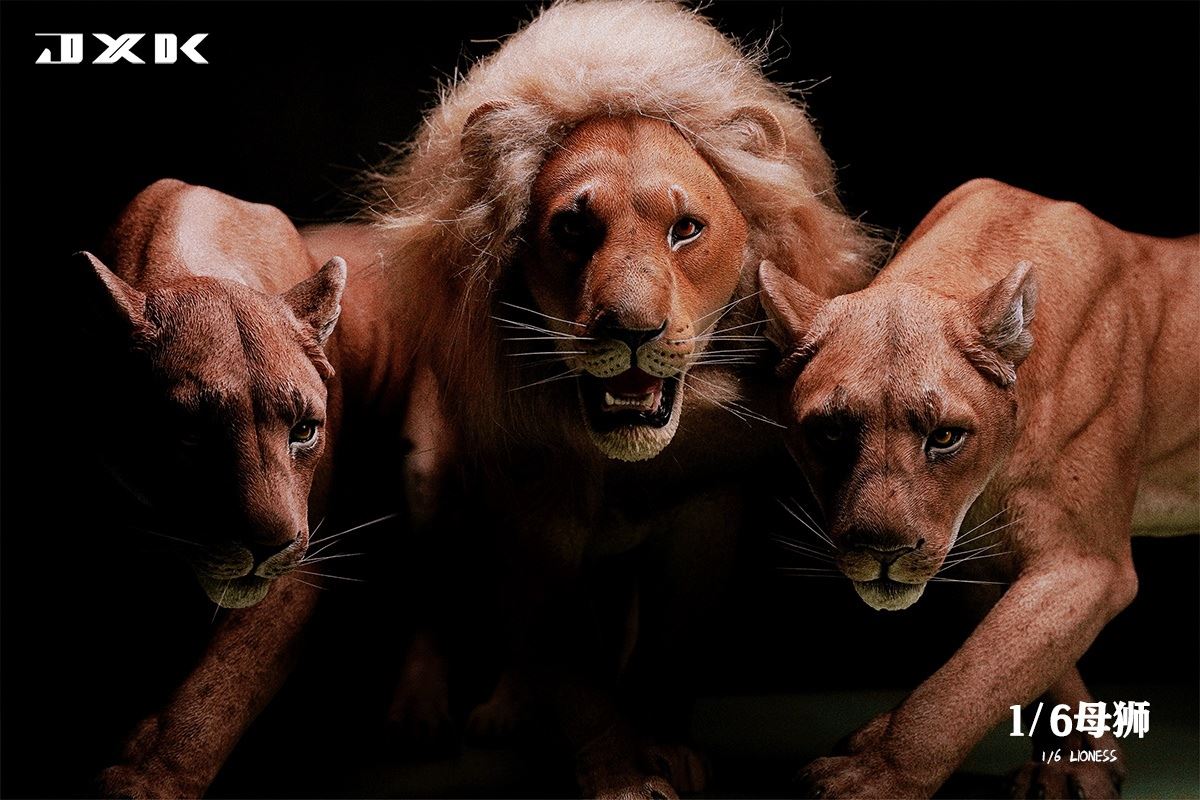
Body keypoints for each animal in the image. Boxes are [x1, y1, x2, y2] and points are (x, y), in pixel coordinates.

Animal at [367, 1, 882, 795]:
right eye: (572, 227)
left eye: (686, 229)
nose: (633, 331)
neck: (622, 466)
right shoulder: (533, 516)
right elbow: (572, 670)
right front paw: (622, 774)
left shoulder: (706, 515)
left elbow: (665, 647)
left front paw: (664, 744)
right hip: (430, 483)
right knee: (434, 601)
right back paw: (425, 716)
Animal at [758, 178, 1198, 798]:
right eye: (831, 432)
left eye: (945, 436)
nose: (883, 551)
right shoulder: (985, 559)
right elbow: (1020, 666)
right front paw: (1079, 761)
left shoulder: (1083, 562)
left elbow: (968, 682)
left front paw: (875, 774)